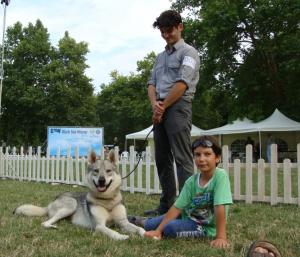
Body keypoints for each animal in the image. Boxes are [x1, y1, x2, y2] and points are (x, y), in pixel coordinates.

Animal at [14, 150, 145, 240]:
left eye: (108, 171)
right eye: (96, 171)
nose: (102, 180)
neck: (107, 201)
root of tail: (50, 203)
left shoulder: (123, 222)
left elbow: (139, 228)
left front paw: (147, 235)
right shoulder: (99, 226)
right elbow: (113, 232)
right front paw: (122, 237)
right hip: (72, 204)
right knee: (45, 222)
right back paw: (54, 226)